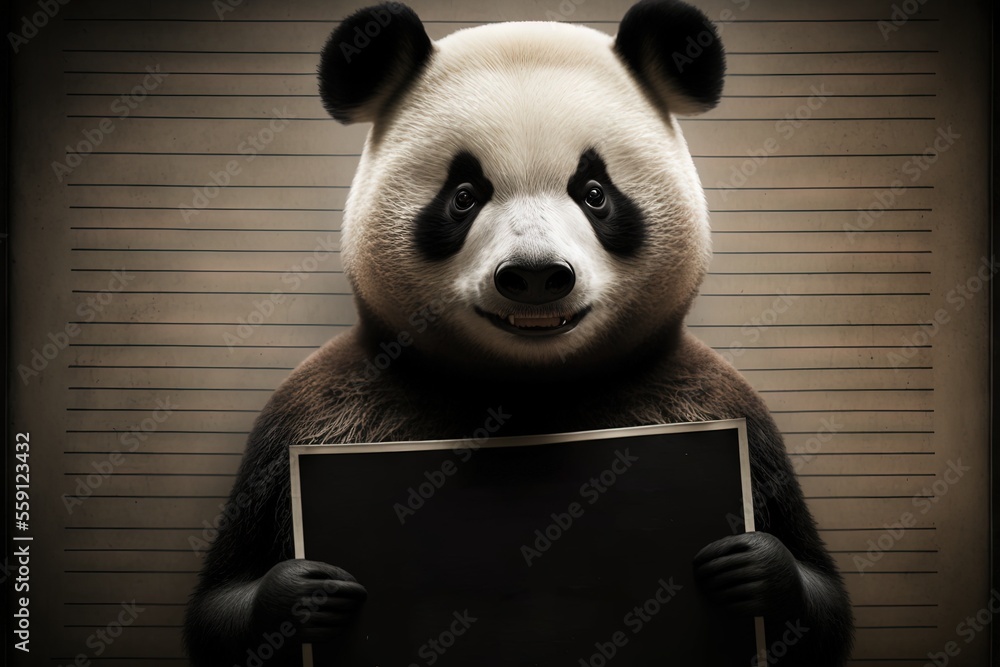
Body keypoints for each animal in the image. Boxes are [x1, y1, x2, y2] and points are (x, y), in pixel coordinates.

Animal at [184, 1, 854, 664]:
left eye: (594, 192)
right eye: (463, 195)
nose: (535, 277)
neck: (524, 391)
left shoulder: (718, 404)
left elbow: (819, 606)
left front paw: (753, 567)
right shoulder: (313, 414)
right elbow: (221, 606)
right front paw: (305, 593)